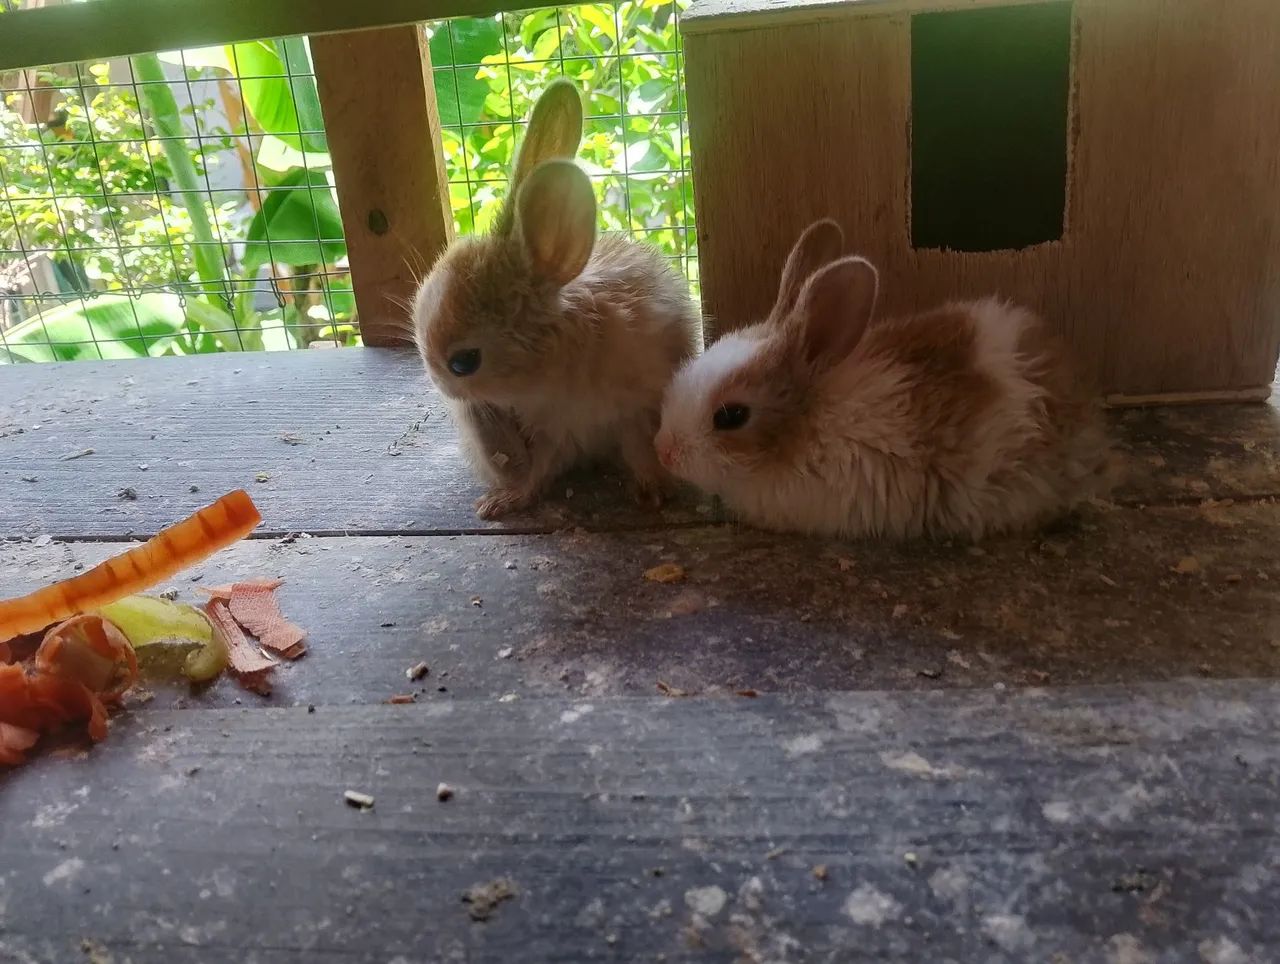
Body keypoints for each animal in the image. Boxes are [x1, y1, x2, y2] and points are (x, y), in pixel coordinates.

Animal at [412, 79, 699, 520]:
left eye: (463, 362)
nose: (441, 387)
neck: (555, 369)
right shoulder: (549, 431)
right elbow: (540, 468)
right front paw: (505, 500)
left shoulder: (634, 413)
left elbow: (640, 452)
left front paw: (656, 492)